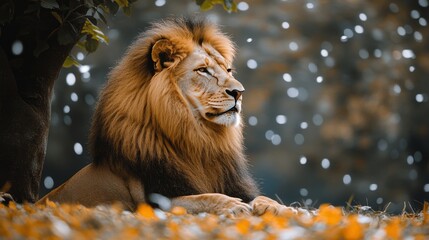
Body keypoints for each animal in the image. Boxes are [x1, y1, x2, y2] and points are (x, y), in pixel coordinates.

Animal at [39, 16, 288, 216]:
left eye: (227, 70)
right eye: (203, 70)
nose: (239, 92)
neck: (199, 140)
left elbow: (260, 197)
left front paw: (279, 207)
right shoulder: (152, 201)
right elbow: (202, 198)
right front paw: (232, 205)